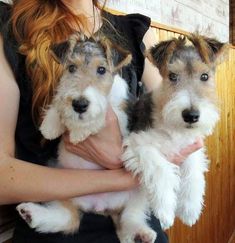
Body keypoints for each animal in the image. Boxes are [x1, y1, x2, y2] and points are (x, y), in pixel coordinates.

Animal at [122, 33, 227, 230]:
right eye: (172, 76)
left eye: (204, 76)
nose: (191, 116)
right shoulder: (137, 144)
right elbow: (160, 169)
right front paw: (165, 212)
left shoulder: (190, 147)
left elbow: (193, 175)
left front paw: (190, 210)